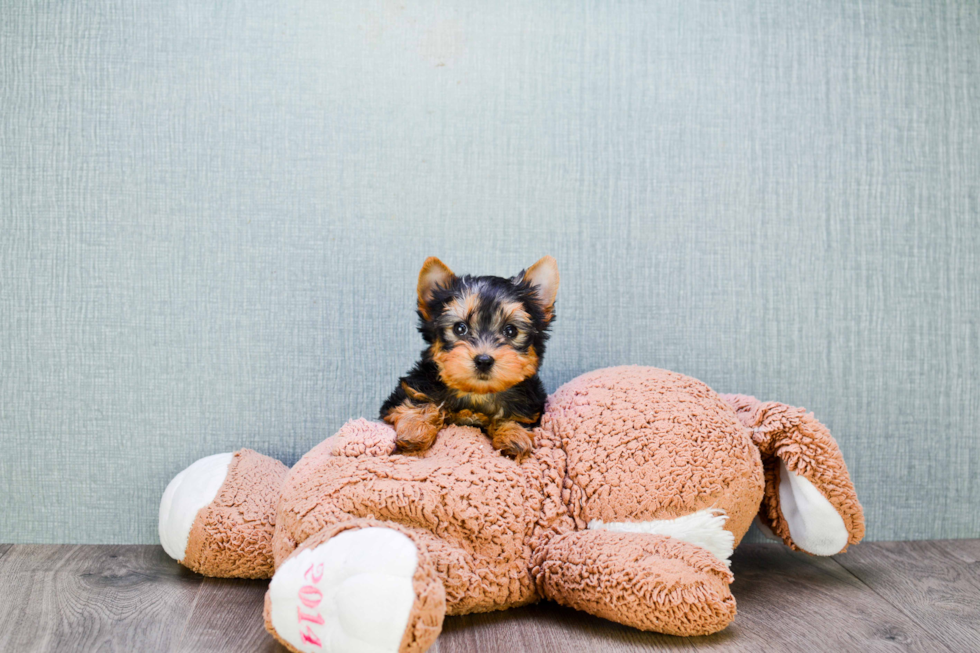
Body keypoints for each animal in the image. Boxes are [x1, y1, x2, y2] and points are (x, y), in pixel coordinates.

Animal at [380, 258, 560, 460]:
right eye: (460, 328)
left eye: (511, 330)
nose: (484, 360)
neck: (476, 394)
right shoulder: (412, 388)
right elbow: (419, 400)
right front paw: (415, 428)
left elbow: (517, 417)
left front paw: (514, 435)